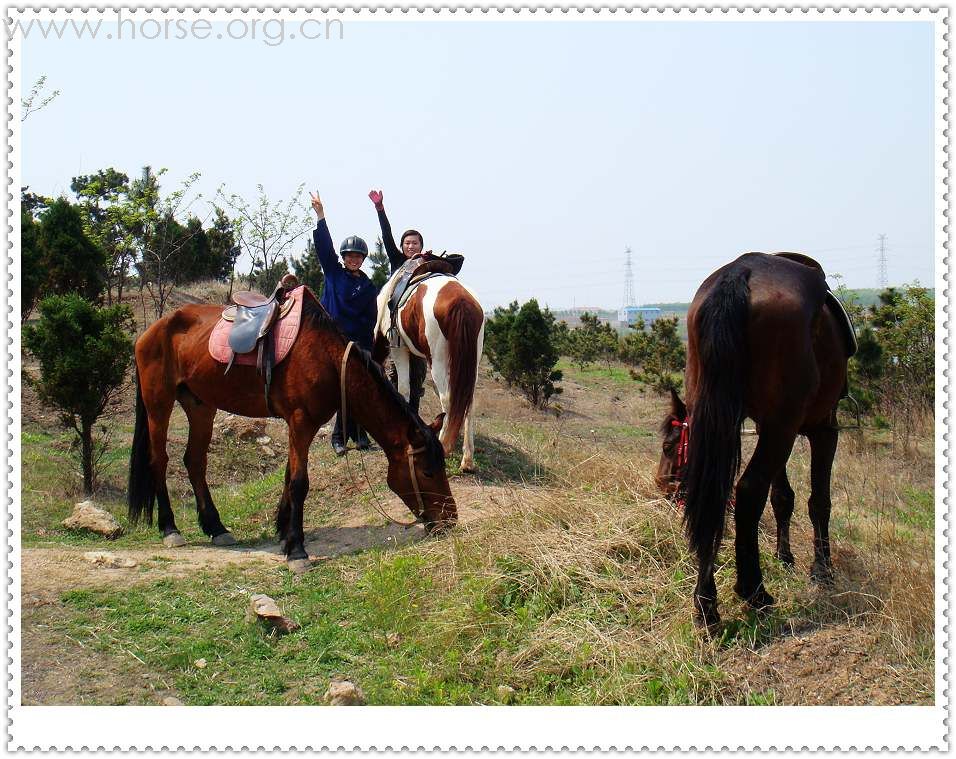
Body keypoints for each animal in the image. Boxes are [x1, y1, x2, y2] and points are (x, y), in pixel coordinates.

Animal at [129, 288, 458, 572]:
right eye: (427, 472)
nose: (450, 519)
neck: (327, 360)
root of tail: (151, 331)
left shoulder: (296, 424)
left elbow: (289, 478)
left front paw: (285, 533)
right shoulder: (301, 422)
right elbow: (300, 483)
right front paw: (297, 550)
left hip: (200, 406)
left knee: (195, 461)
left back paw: (216, 527)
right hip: (159, 403)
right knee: (159, 461)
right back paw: (170, 528)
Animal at [374, 274, 486, 476]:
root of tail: (462, 301)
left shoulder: (398, 349)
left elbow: (404, 389)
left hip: (439, 361)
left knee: (448, 399)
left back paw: (444, 445)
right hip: (470, 364)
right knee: (468, 402)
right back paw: (467, 460)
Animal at [656, 252, 852, 628]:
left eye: (669, 446)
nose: (661, 484)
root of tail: (742, 273)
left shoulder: (771, 428)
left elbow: (783, 497)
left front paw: (785, 556)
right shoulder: (821, 430)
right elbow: (818, 500)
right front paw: (821, 568)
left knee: (717, 496)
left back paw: (706, 604)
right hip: (782, 428)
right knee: (748, 492)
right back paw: (754, 591)